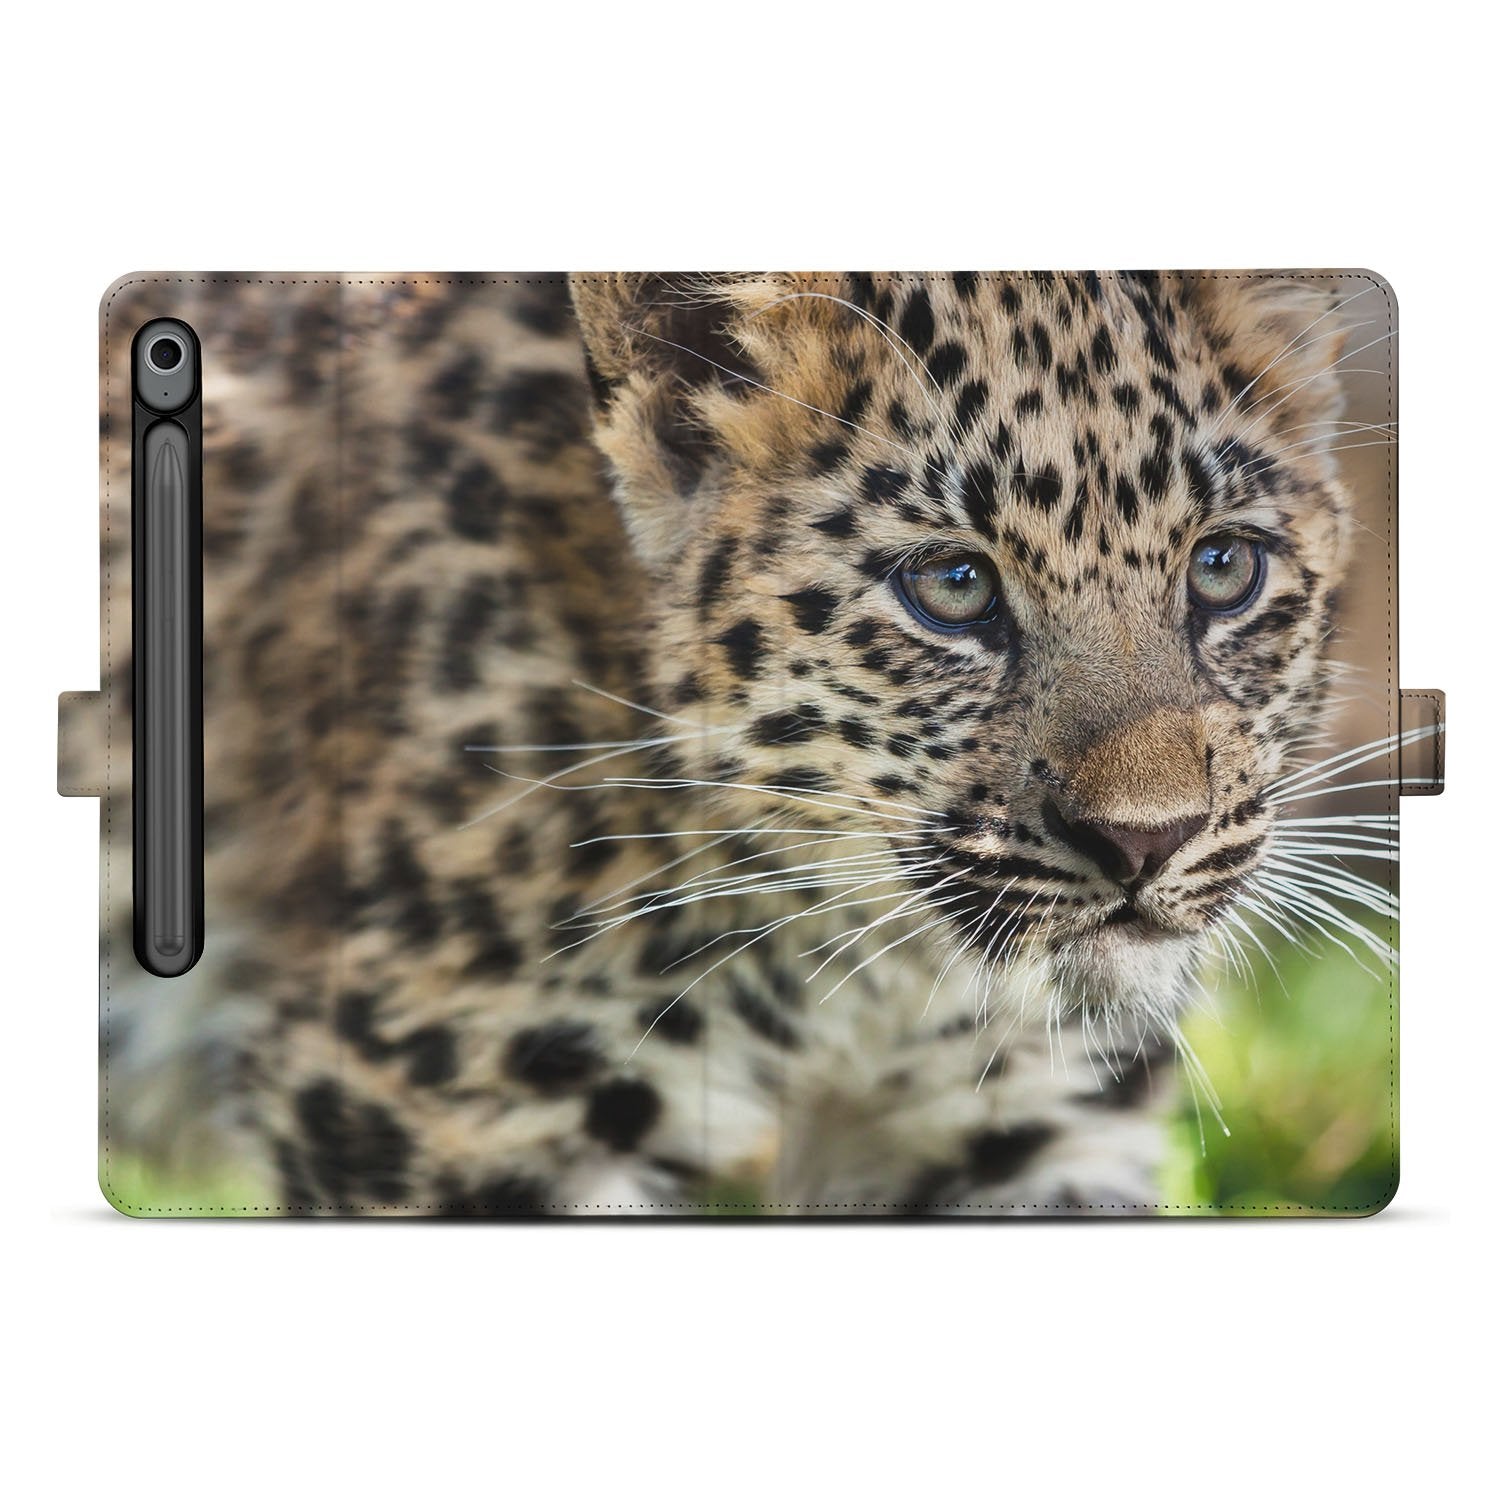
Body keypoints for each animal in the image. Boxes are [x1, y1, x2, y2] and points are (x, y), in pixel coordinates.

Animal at [94, 270, 1367, 1214]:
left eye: (1224, 567)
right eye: (953, 587)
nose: (1150, 843)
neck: (873, 972)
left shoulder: (1027, 1123)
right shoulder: (437, 1109)